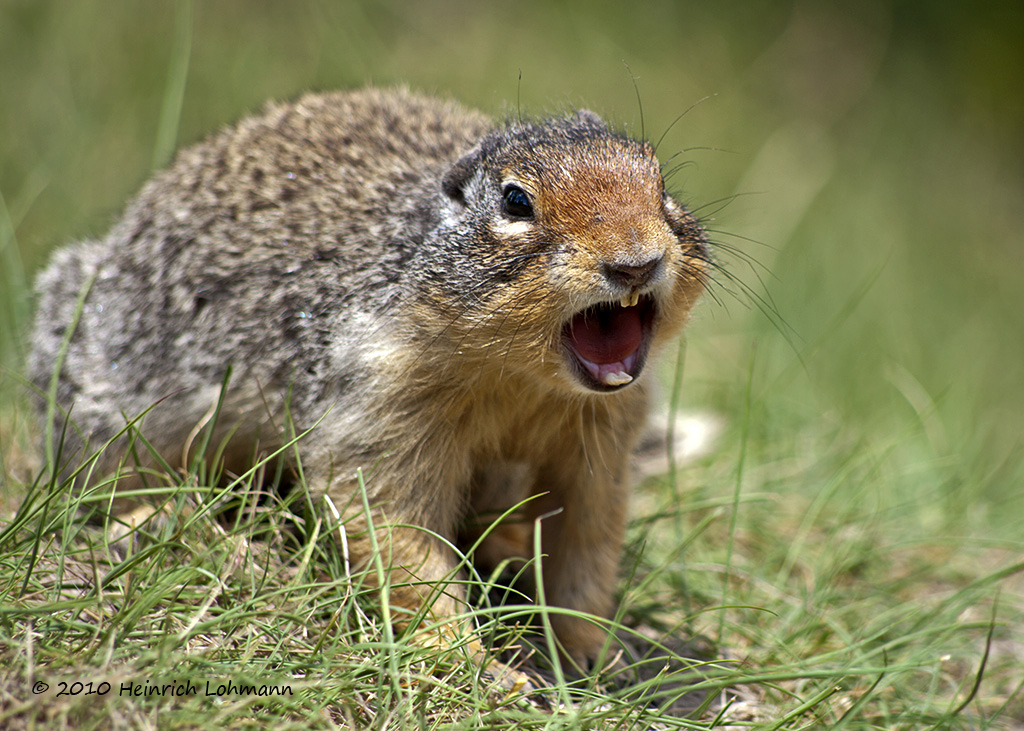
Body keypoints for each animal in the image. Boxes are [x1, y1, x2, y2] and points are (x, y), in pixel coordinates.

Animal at [28, 85, 708, 667]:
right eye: (516, 201)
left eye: (662, 185)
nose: (635, 261)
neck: (522, 379)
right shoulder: (379, 403)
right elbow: (397, 530)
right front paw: (465, 659)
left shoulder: (605, 436)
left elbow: (587, 545)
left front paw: (591, 652)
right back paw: (156, 517)